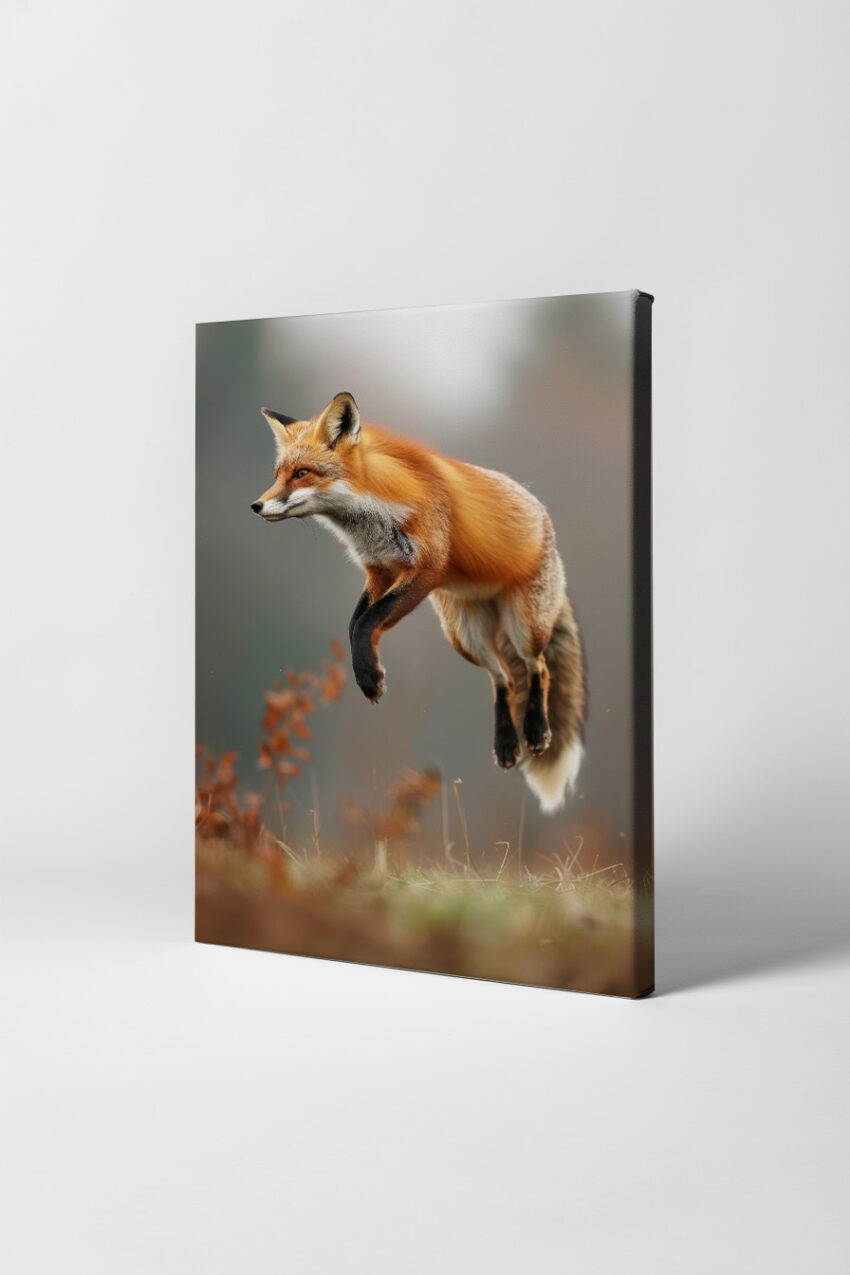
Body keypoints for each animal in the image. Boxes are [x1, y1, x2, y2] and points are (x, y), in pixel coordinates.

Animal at [250, 392, 586, 813]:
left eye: (302, 473)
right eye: (278, 474)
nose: (256, 506)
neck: (376, 513)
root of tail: (543, 516)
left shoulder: (425, 571)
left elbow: (367, 623)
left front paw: (370, 677)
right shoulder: (379, 571)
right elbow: (355, 626)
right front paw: (368, 672)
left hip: (524, 626)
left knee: (538, 668)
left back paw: (537, 731)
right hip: (464, 637)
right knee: (504, 679)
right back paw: (507, 744)